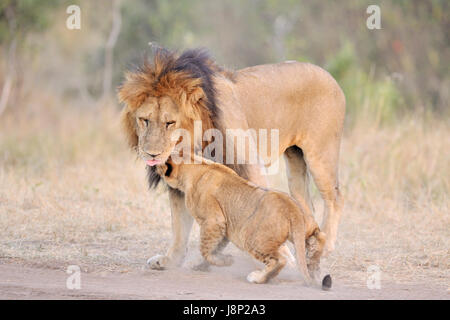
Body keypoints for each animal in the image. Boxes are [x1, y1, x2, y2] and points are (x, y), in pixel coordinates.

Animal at [118, 47, 344, 268]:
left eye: (170, 123)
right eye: (144, 120)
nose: (151, 153)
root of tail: (328, 75)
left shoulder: (250, 165)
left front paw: (282, 257)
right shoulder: (181, 181)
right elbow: (180, 226)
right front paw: (171, 260)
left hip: (320, 155)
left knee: (334, 198)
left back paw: (325, 247)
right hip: (295, 163)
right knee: (305, 204)